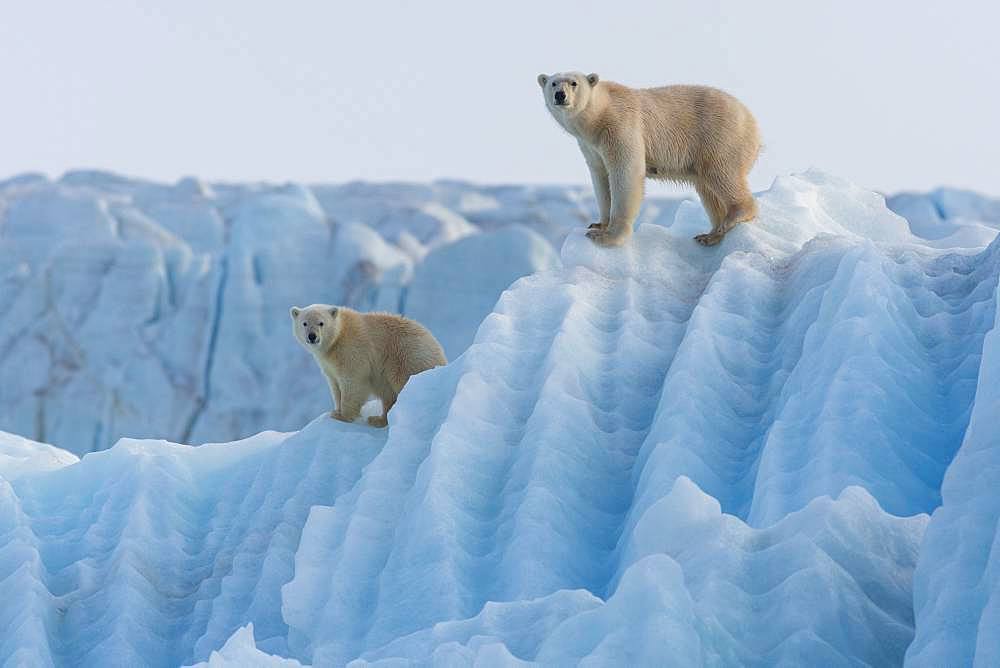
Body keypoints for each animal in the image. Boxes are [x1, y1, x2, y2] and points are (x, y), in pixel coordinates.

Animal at [290, 304, 446, 428]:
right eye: (304, 323)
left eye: (321, 323)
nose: (312, 336)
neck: (337, 338)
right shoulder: (329, 365)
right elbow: (335, 385)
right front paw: (336, 410)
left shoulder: (352, 351)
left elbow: (352, 382)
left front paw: (342, 416)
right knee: (388, 394)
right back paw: (378, 419)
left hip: (406, 357)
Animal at [540, 71, 756, 248]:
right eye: (553, 83)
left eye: (573, 82)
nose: (560, 95)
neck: (599, 116)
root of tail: (752, 122)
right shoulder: (591, 146)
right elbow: (600, 177)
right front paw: (599, 224)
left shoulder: (620, 127)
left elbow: (626, 173)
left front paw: (606, 237)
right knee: (708, 191)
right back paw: (709, 235)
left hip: (719, 137)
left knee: (721, 174)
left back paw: (734, 216)